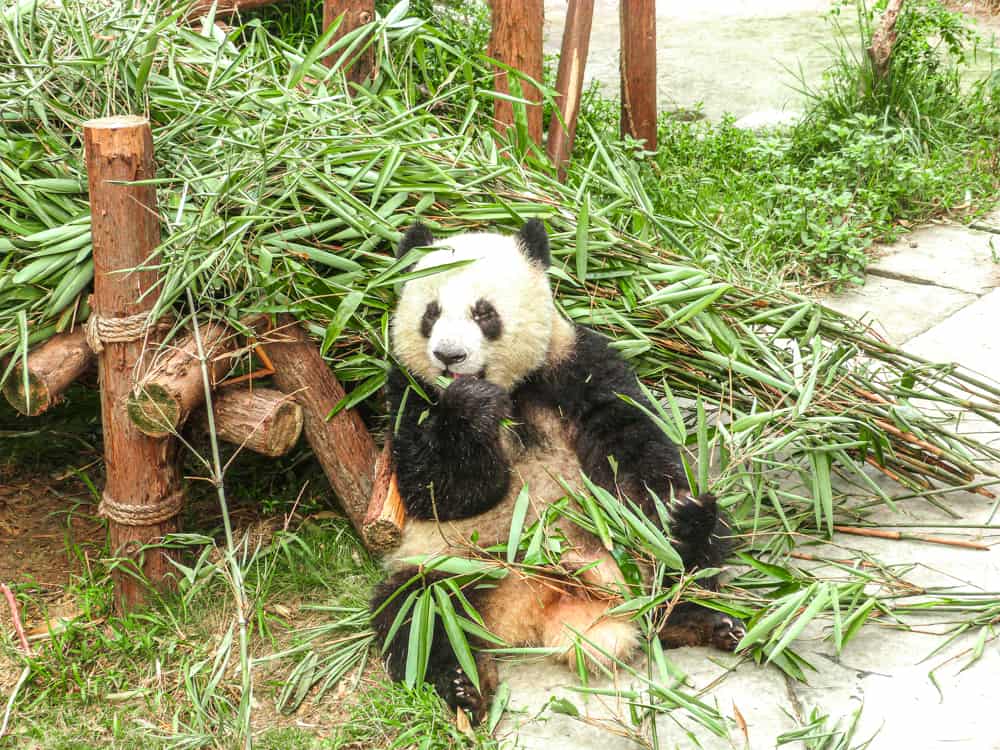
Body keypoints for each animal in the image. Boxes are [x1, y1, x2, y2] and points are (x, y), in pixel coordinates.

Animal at [370, 219, 744, 724]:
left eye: (483, 313)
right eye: (430, 313)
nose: (448, 356)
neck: (508, 388)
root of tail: (538, 608)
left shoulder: (574, 363)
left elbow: (634, 450)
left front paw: (675, 510)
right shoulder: (409, 390)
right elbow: (435, 488)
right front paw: (469, 407)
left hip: (624, 556)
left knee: (678, 566)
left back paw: (696, 583)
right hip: (449, 564)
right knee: (418, 616)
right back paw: (465, 688)